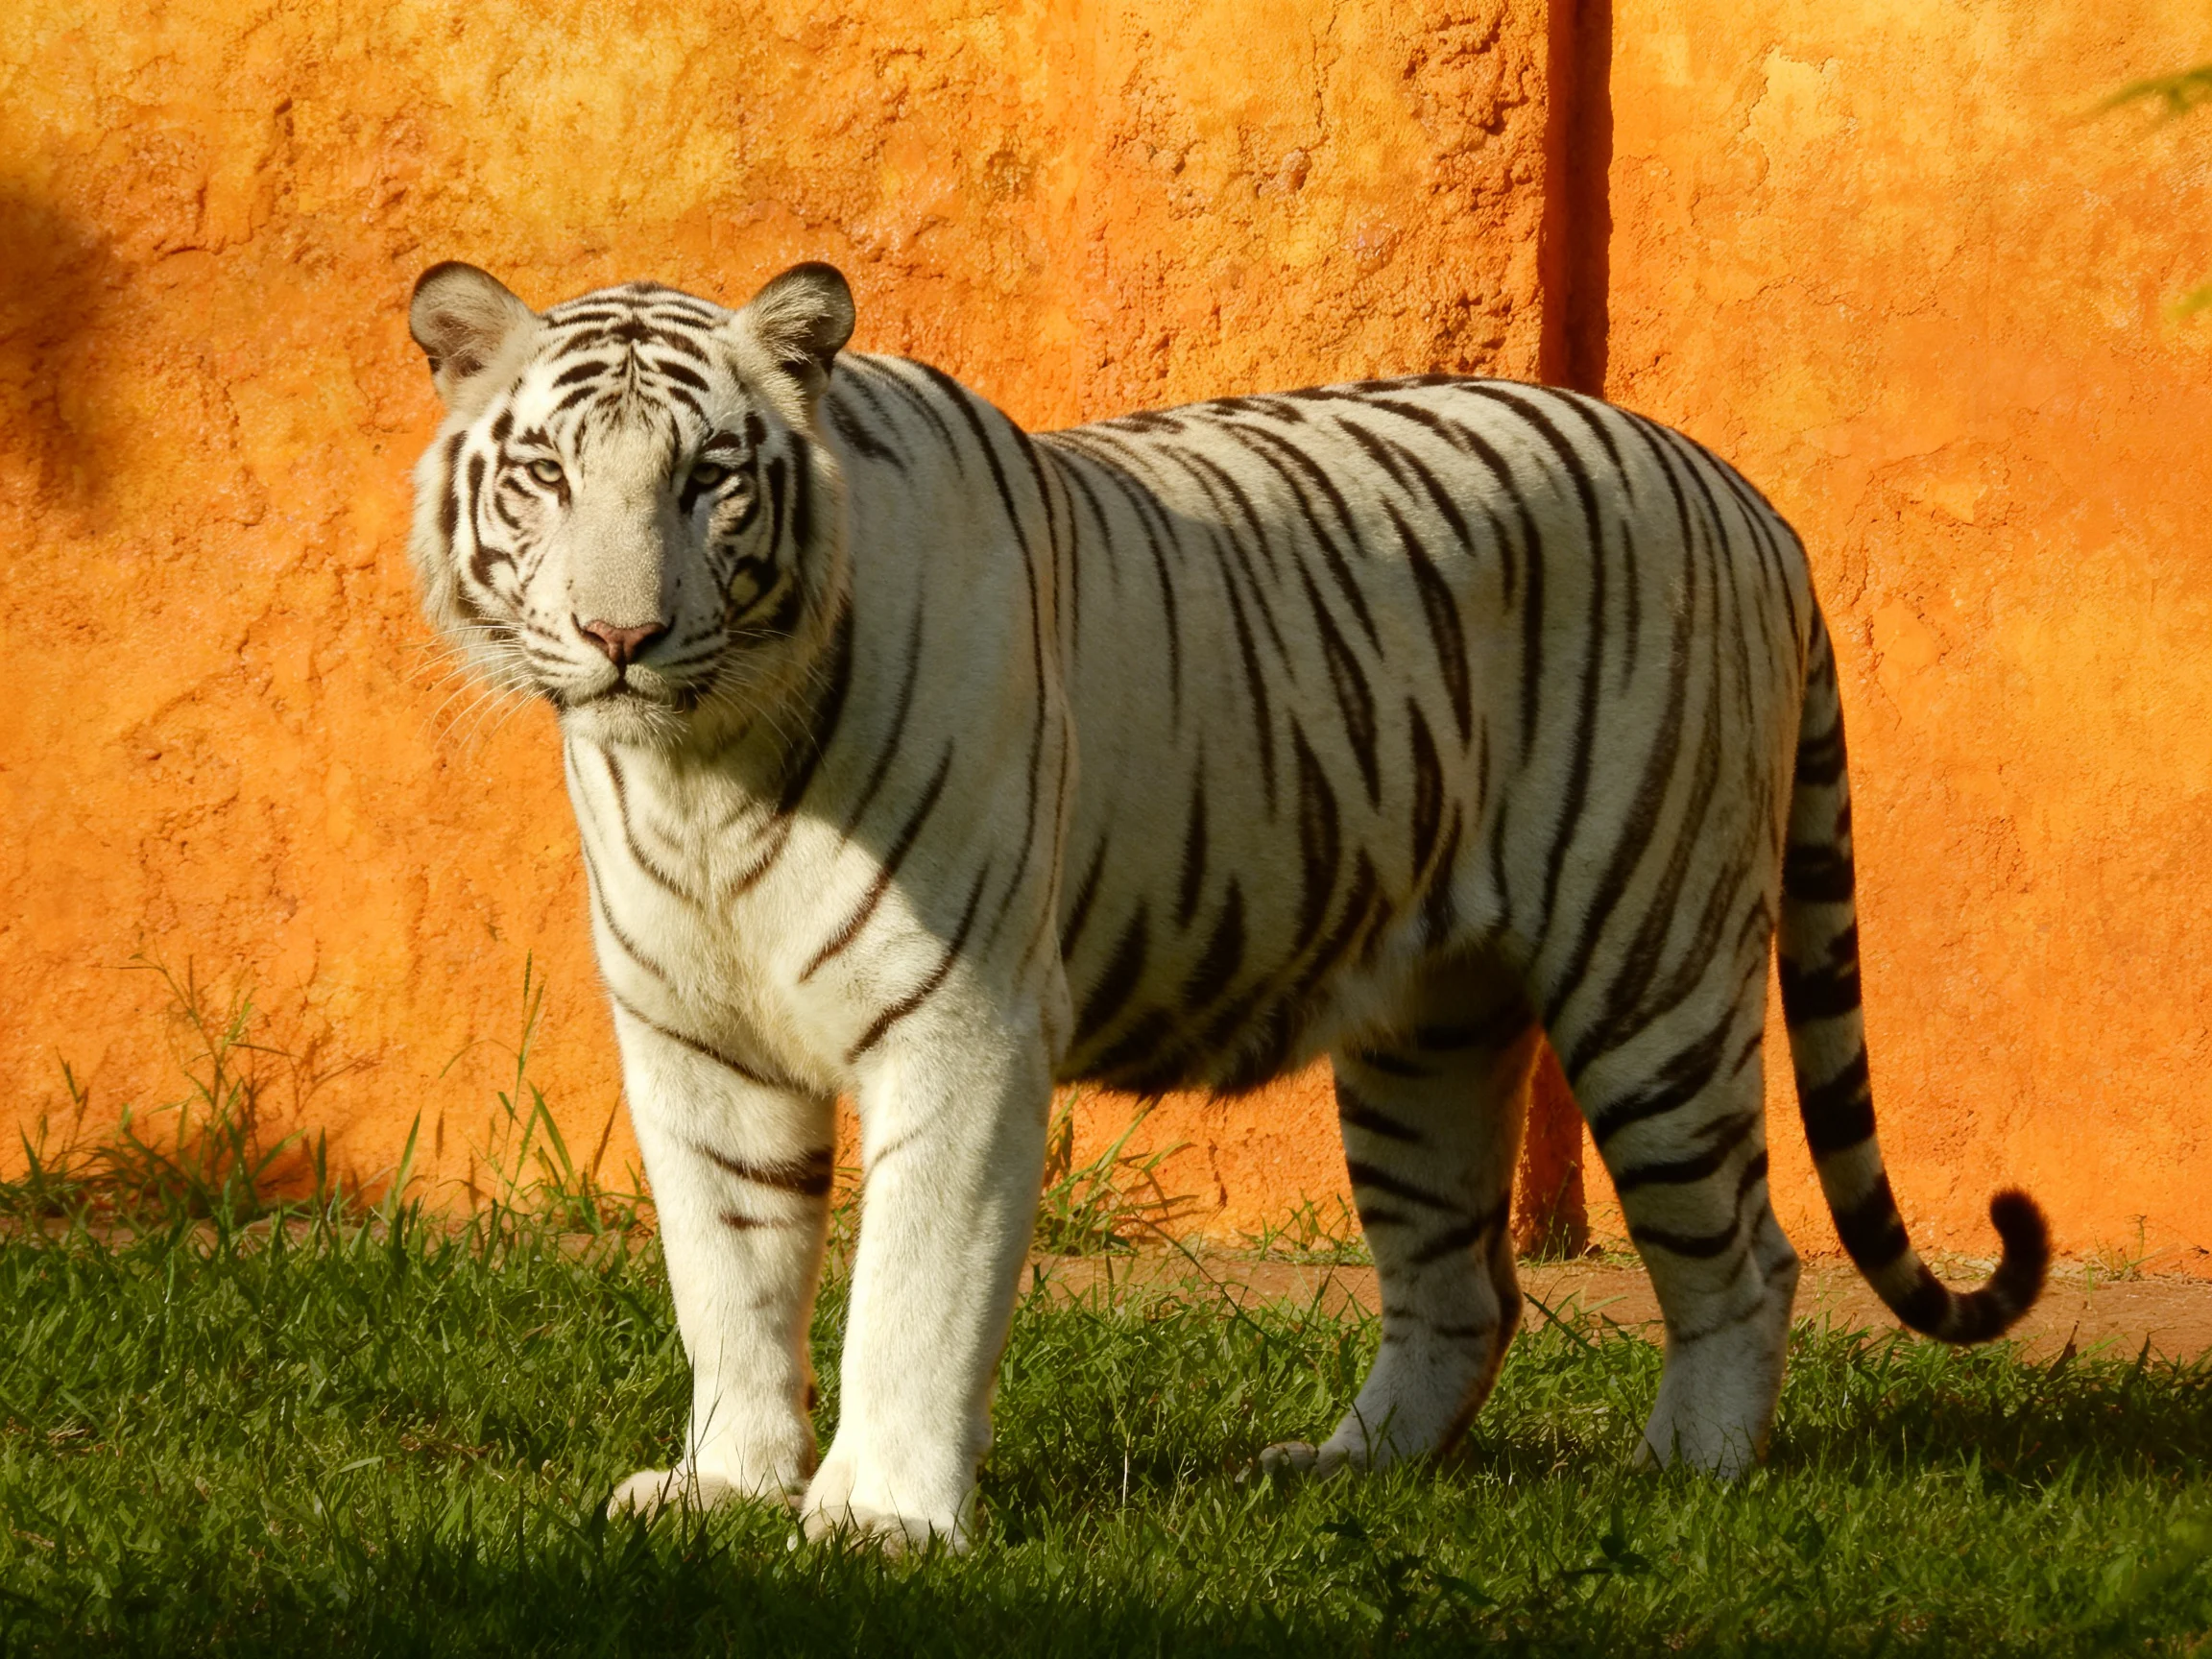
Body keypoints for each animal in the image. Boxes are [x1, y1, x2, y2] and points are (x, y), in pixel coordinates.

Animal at [405, 257, 2048, 1549]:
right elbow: (731, 1274)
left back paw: (1685, 1478)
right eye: (547, 476)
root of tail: (1746, 494)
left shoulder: (963, 1025)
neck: (701, 771)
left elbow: (912, 1289)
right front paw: (729, 1490)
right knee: (1464, 1289)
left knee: (1745, 1258)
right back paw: (1344, 1475)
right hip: (1428, 1034)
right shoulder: (699, 1043)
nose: (621, 635)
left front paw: (879, 1519)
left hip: (1655, 970)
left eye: (710, 477)